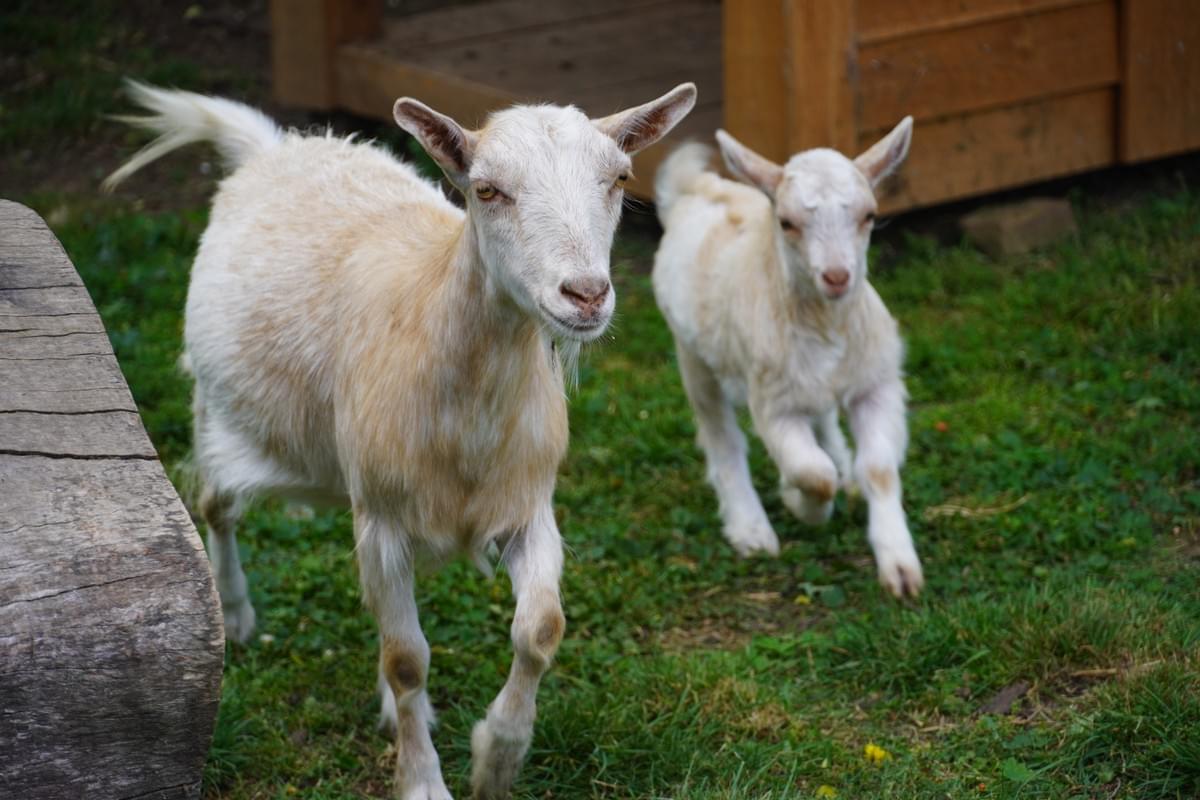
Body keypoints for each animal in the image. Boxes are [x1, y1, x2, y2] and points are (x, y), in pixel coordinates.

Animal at [105, 79, 696, 799]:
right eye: (487, 190)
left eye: (618, 178)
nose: (585, 295)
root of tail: (278, 146)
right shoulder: (384, 519)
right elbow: (408, 659)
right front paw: (422, 780)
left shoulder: (527, 505)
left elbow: (540, 629)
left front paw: (496, 759)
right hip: (222, 416)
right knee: (217, 506)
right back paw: (238, 615)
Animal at [651, 119, 924, 598]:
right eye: (787, 222)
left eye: (869, 216)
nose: (836, 276)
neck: (826, 324)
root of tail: (698, 188)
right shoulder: (773, 405)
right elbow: (811, 472)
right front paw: (800, 504)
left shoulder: (876, 385)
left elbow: (879, 469)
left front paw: (900, 567)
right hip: (692, 354)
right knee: (721, 436)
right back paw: (750, 527)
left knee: (824, 415)